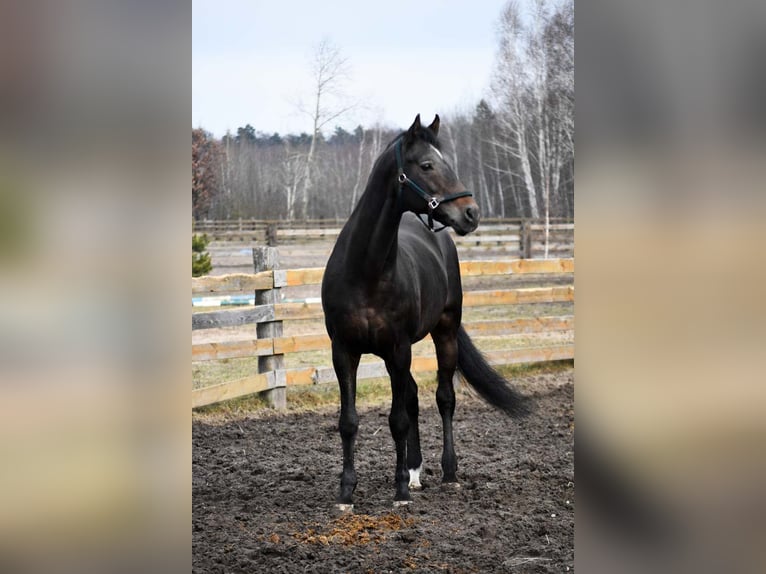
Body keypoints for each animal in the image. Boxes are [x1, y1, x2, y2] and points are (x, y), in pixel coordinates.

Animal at [320, 115, 532, 510]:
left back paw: (447, 472)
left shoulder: (398, 350)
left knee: (443, 398)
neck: (365, 272)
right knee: (415, 396)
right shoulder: (344, 351)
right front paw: (346, 492)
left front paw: (400, 490)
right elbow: (349, 421)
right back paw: (416, 470)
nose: (471, 212)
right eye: (427, 165)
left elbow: (398, 420)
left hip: (443, 332)